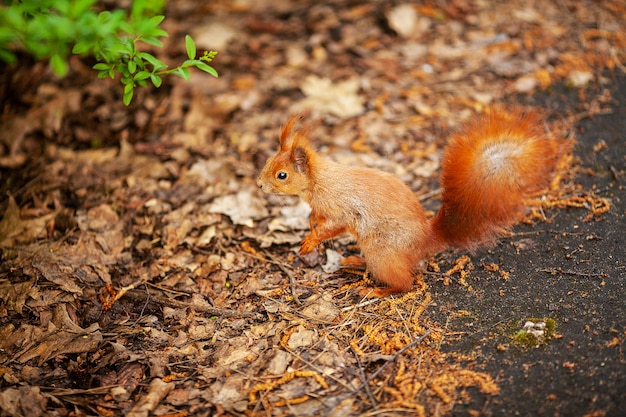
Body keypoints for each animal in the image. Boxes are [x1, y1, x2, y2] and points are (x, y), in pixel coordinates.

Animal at [256, 107, 564, 296]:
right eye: (268, 162)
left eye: (282, 175)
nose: (259, 185)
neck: (319, 182)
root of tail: (425, 239)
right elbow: (316, 218)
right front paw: (310, 227)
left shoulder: (342, 207)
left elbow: (333, 226)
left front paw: (311, 240)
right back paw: (356, 260)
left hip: (383, 253)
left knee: (406, 283)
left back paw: (377, 289)